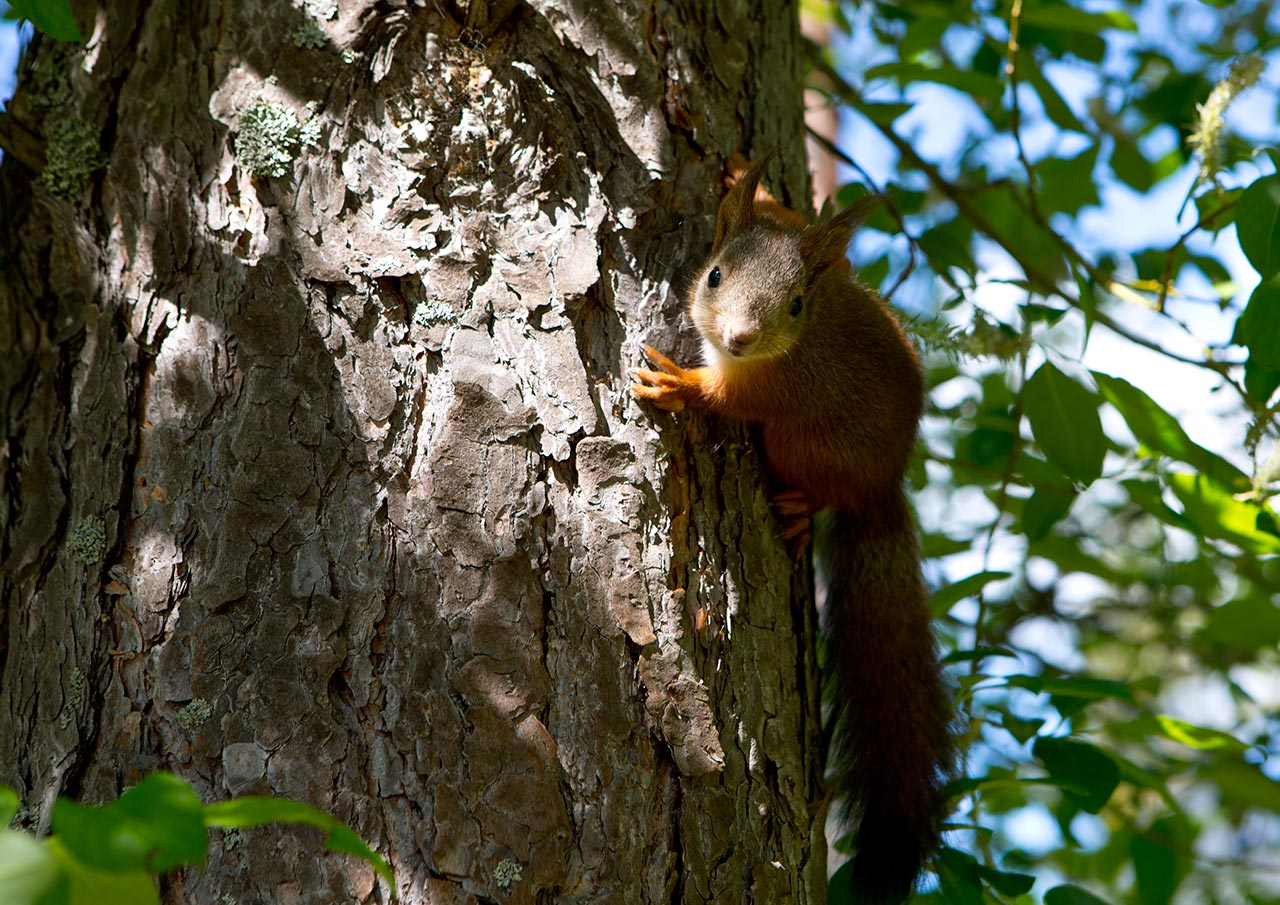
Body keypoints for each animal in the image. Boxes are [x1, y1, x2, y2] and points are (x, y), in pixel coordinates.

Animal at [633, 154, 954, 903]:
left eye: (796, 306)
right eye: (715, 274)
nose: (740, 338)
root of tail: (881, 488)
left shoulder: (771, 387)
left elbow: (725, 398)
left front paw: (680, 385)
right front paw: (741, 179)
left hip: (797, 444)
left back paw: (800, 510)